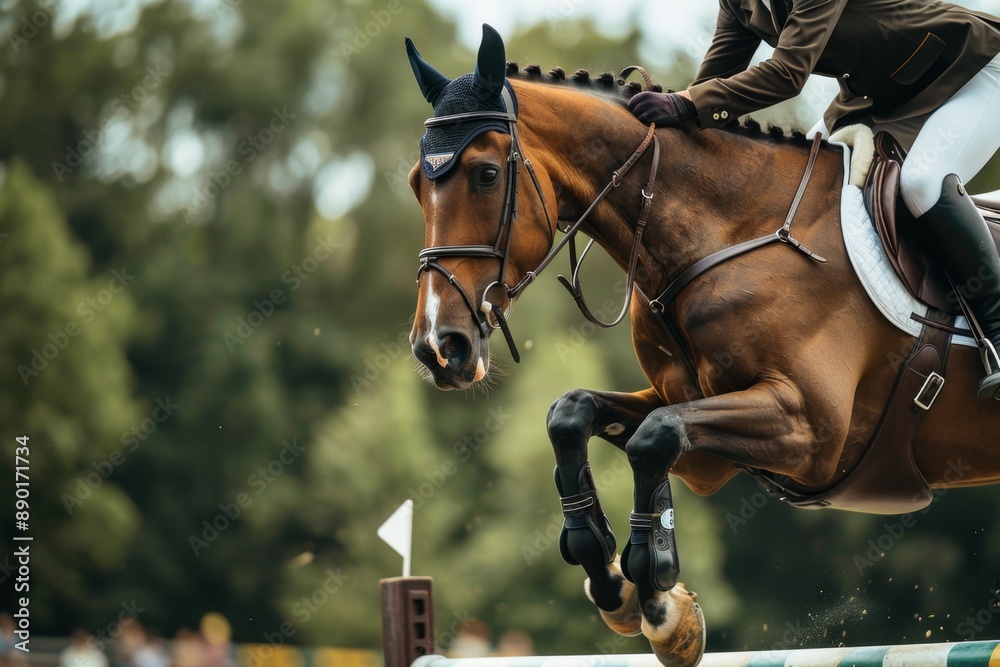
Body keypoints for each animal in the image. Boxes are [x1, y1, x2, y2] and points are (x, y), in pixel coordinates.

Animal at [403, 25, 1000, 666]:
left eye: (486, 174)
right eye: (416, 184)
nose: (439, 346)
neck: (727, 233)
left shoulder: (812, 430)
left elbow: (655, 436)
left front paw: (660, 599)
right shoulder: (700, 431)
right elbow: (577, 414)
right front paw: (613, 579)